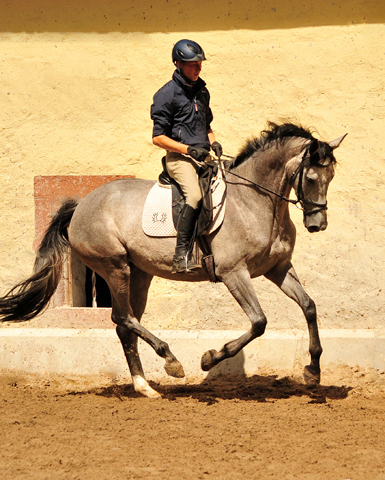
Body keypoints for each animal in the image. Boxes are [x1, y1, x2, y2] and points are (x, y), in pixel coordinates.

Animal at [0, 123, 344, 398]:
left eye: (331, 176)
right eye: (311, 178)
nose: (318, 224)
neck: (255, 202)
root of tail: (80, 206)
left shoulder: (278, 268)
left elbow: (309, 306)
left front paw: (313, 371)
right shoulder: (234, 273)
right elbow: (259, 322)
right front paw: (210, 357)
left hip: (139, 274)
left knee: (126, 325)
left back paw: (144, 387)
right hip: (115, 267)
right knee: (121, 317)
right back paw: (171, 361)